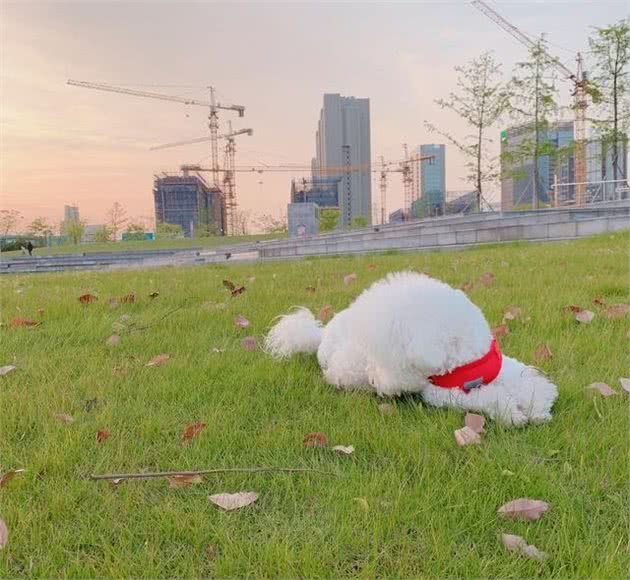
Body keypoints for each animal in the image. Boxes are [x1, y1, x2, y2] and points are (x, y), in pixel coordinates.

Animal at [266, 272, 556, 426]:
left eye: (390, 355)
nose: (376, 381)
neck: (466, 362)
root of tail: (322, 333)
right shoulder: (442, 394)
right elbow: (487, 397)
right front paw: (513, 413)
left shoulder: (502, 367)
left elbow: (531, 383)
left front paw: (537, 407)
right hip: (344, 370)